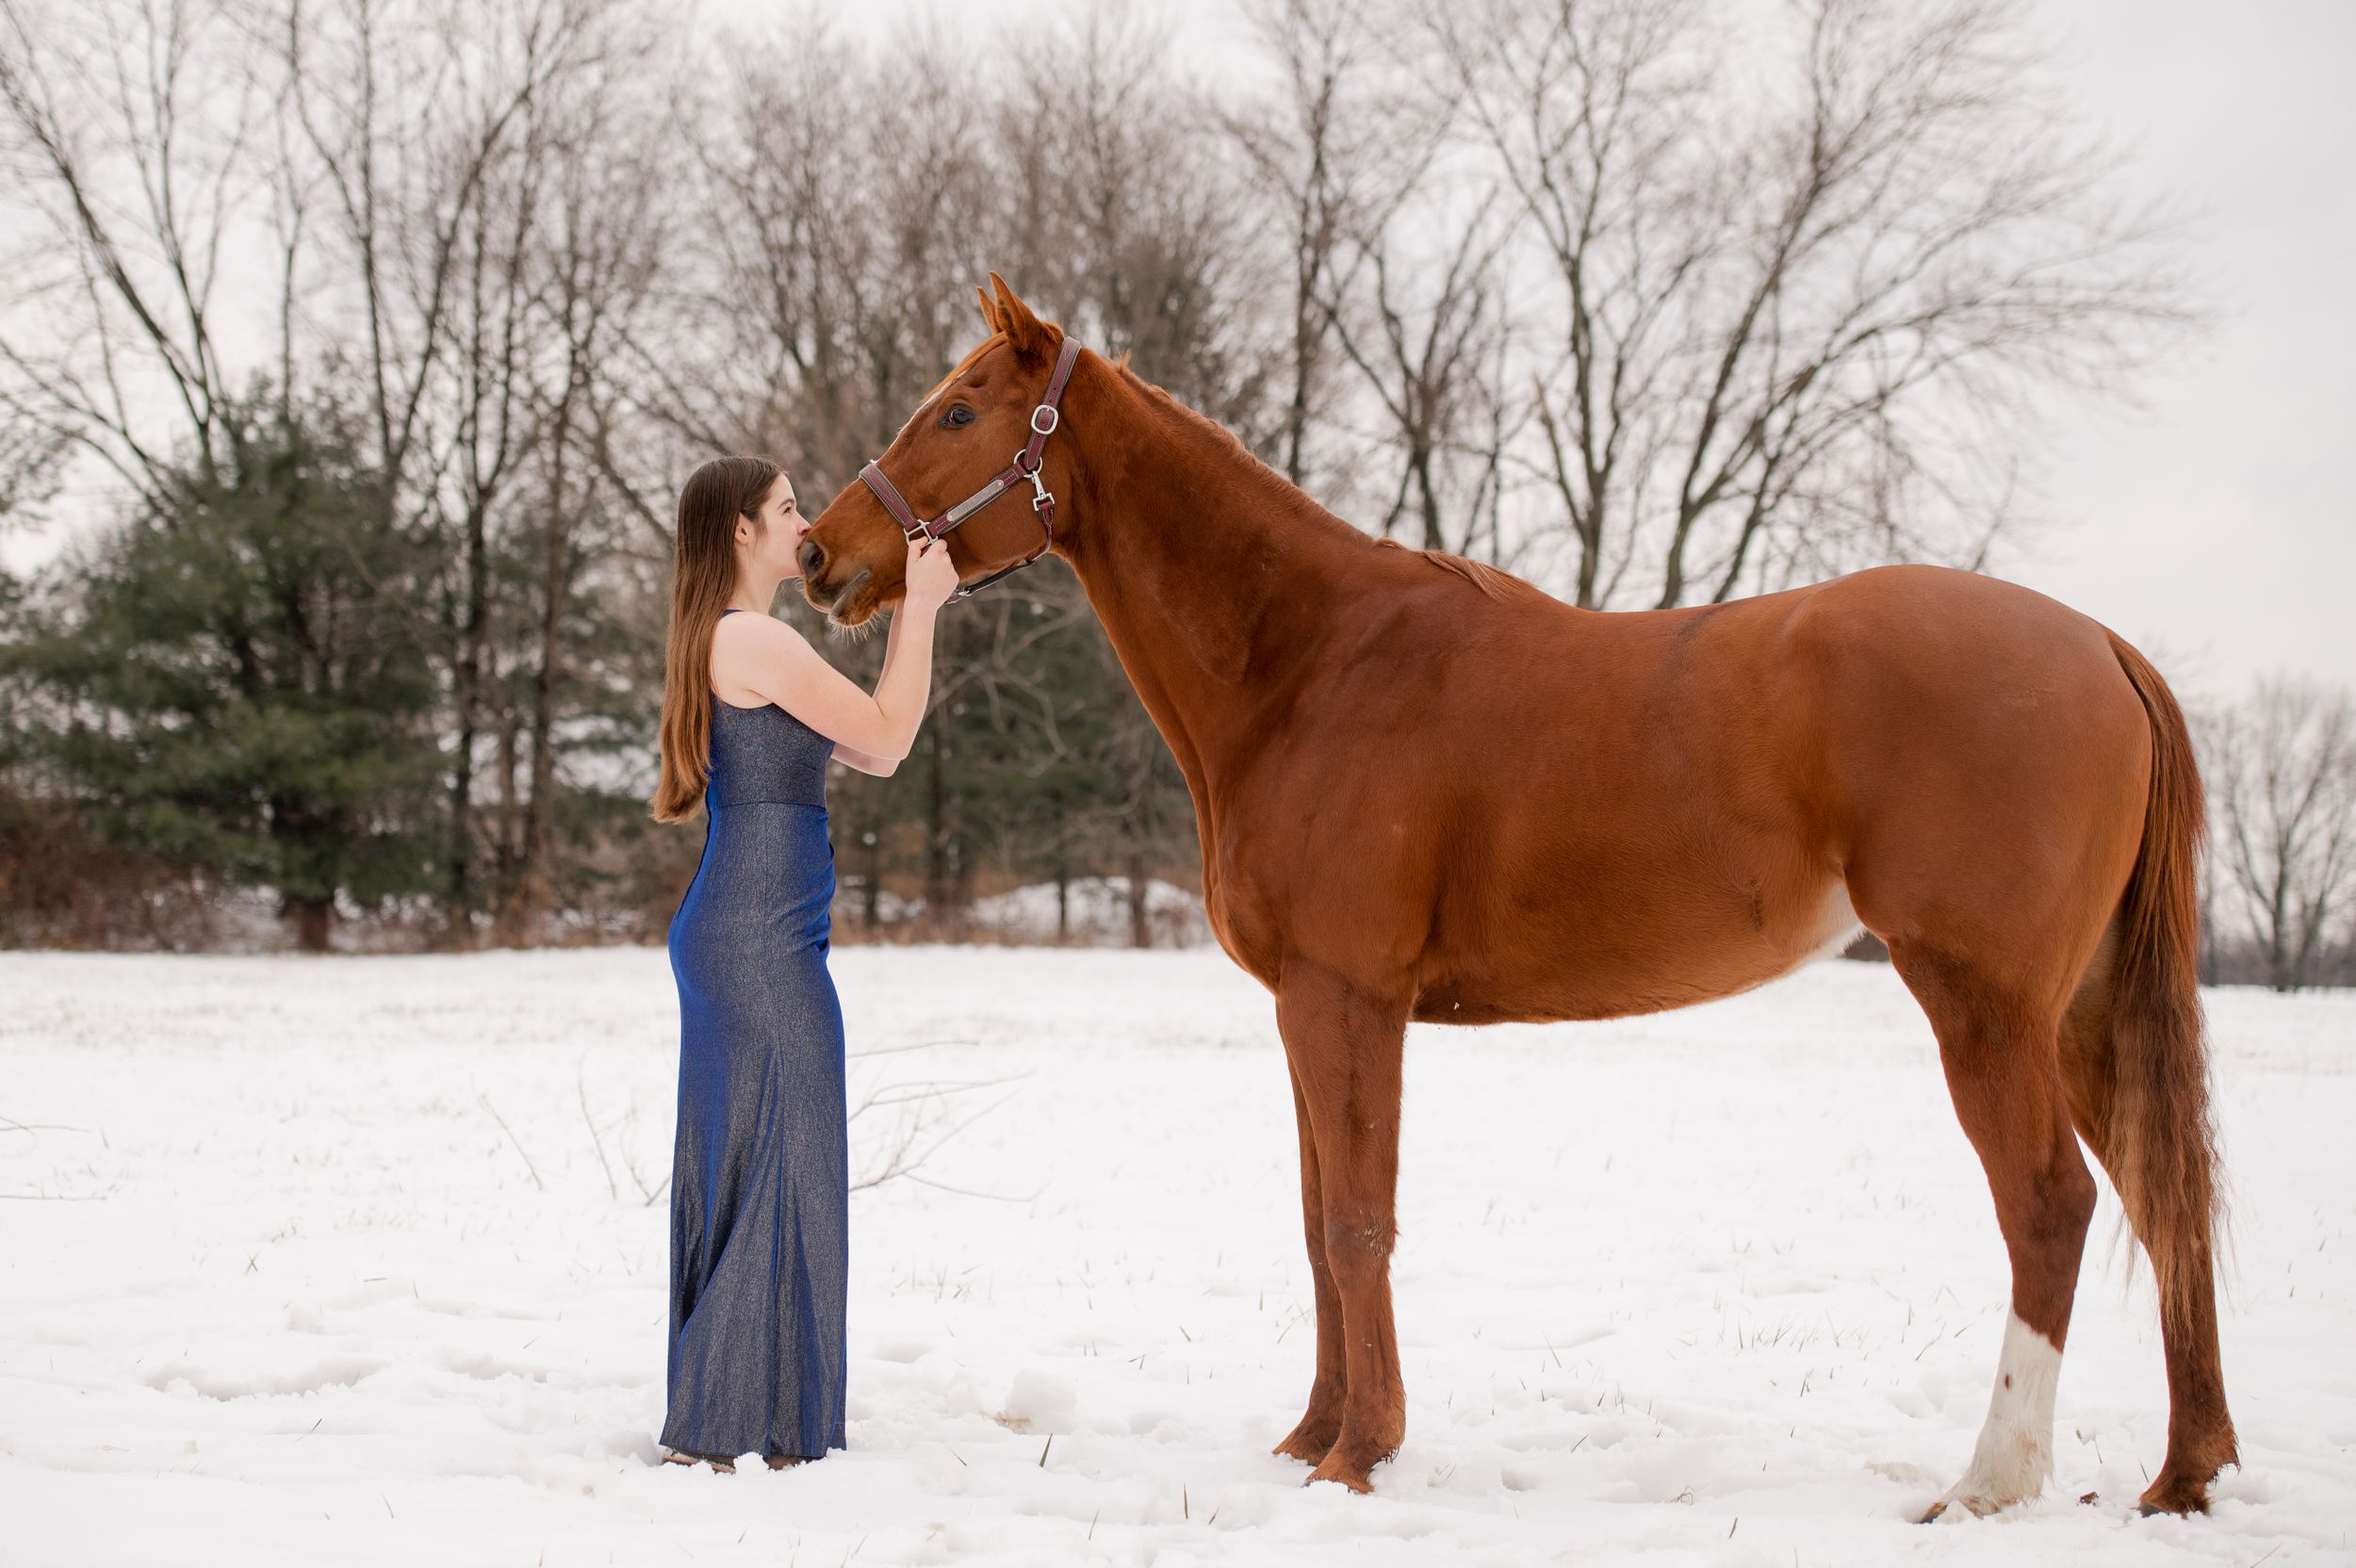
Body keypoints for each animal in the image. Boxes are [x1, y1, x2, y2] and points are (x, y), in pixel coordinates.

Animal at [795, 274, 2237, 1519]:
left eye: (960, 411)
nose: (817, 554)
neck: (1312, 661)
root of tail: (2101, 646)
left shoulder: (1348, 998)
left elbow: (1356, 1223)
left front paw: (1359, 1456)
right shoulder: (1303, 1008)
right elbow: (1316, 1225)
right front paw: (1310, 1438)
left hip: (1984, 1004)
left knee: (2049, 1206)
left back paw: (1988, 1483)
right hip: (2081, 1012)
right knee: (2165, 1200)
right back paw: (2183, 1476)